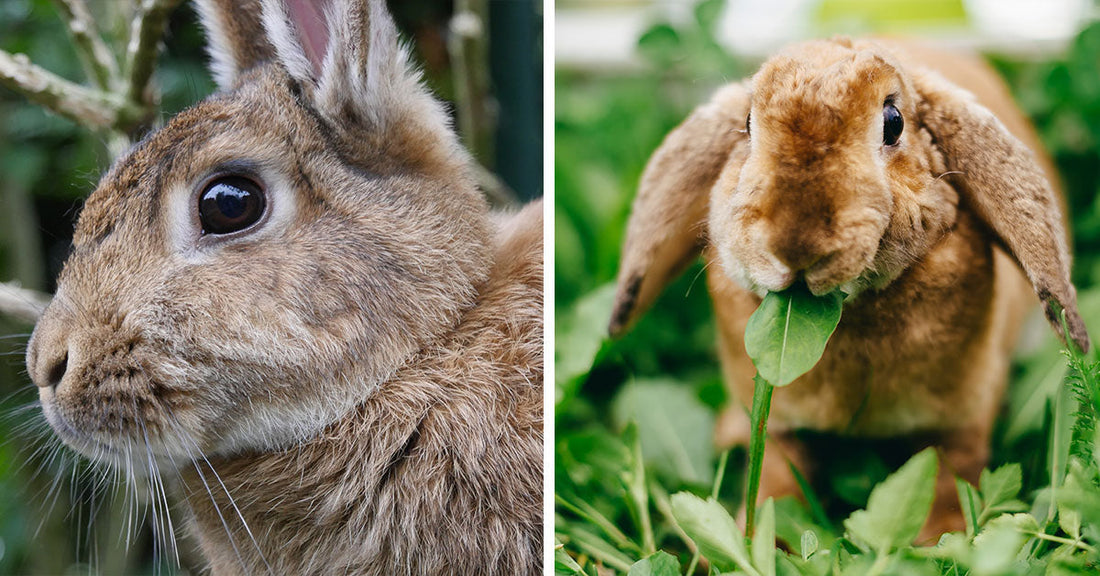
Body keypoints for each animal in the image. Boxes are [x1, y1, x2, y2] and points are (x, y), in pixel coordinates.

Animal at [610, 37, 1088, 540]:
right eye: (747, 124)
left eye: (894, 122)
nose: (795, 243)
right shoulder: (780, 427)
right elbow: (776, 479)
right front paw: (753, 539)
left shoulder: (962, 416)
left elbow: (952, 471)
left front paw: (945, 537)